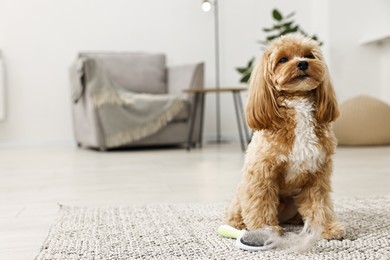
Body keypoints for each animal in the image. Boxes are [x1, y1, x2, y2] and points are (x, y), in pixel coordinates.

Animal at [227, 34, 346, 240]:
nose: (302, 63)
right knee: (238, 210)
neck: (298, 104)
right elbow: (260, 203)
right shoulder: (262, 173)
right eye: (282, 59)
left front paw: (326, 228)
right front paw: (265, 229)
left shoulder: (318, 174)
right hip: (242, 191)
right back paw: (237, 223)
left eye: (309, 55)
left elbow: (319, 204)